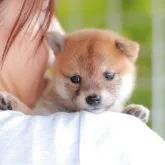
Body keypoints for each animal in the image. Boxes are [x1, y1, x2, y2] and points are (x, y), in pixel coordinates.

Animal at [0, 29, 150, 123]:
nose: (93, 98)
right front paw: (9, 101)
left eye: (109, 75)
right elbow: (28, 111)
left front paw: (134, 111)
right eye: (75, 79)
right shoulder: (40, 111)